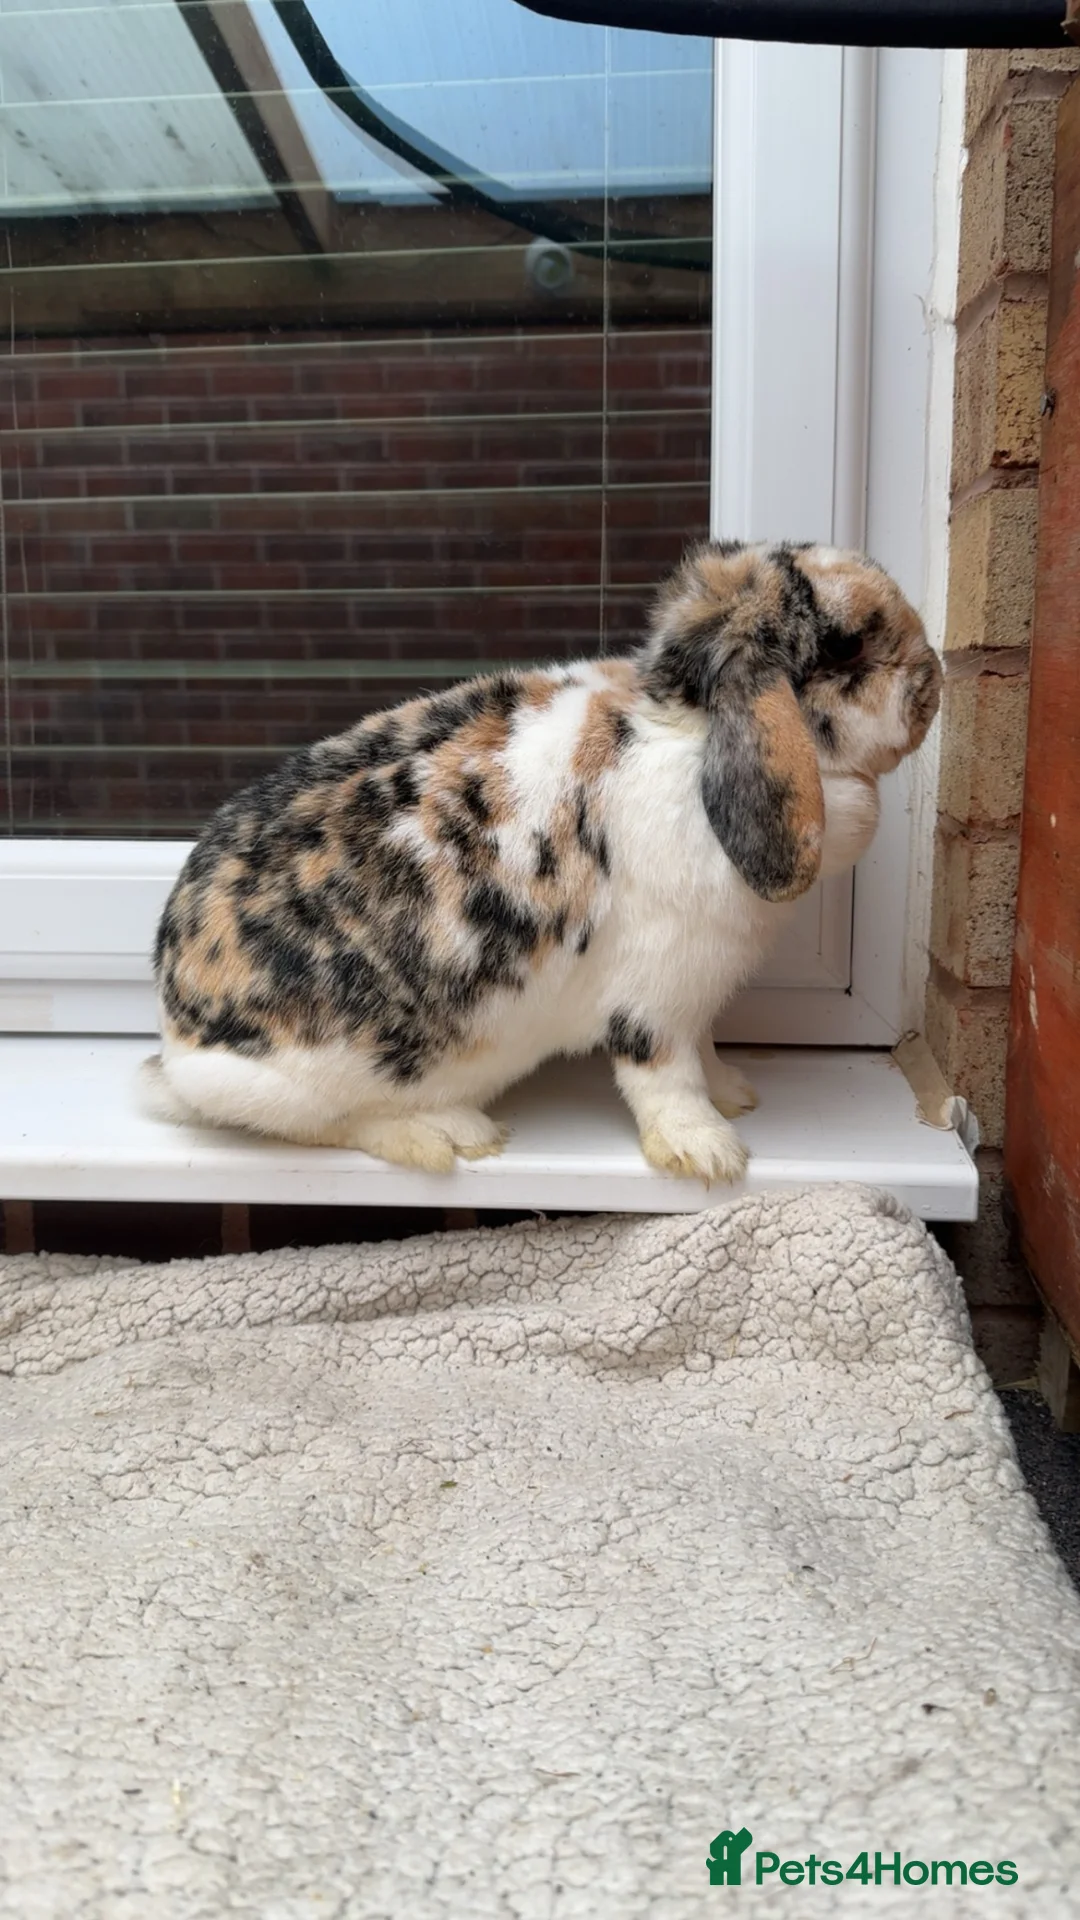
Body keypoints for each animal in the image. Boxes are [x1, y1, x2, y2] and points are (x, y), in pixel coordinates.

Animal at [141, 539, 941, 1183]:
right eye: (846, 648)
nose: (934, 678)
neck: (692, 737)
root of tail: (175, 1039)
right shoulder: (655, 997)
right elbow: (666, 1079)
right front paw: (709, 1153)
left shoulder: (698, 995)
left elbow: (706, 1052)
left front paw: (737, 1094)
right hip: (307, 1080)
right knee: (333, 1125)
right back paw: (449, 1136)